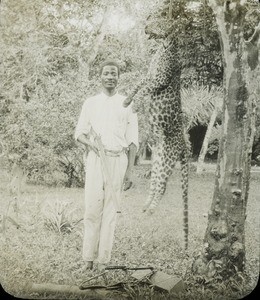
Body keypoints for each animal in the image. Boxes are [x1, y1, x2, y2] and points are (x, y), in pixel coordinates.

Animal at [123, 34, 190, 251]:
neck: (164, 46)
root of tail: (185, 144)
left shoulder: (159, 80)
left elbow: (144, 88)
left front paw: (134, 105)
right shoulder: (151, 76)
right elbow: (139, 82)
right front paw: (127, 100)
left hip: (168, 157)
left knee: (162, 185)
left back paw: (151, 209)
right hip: (158, 158)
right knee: (157, 183)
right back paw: (146, 206)